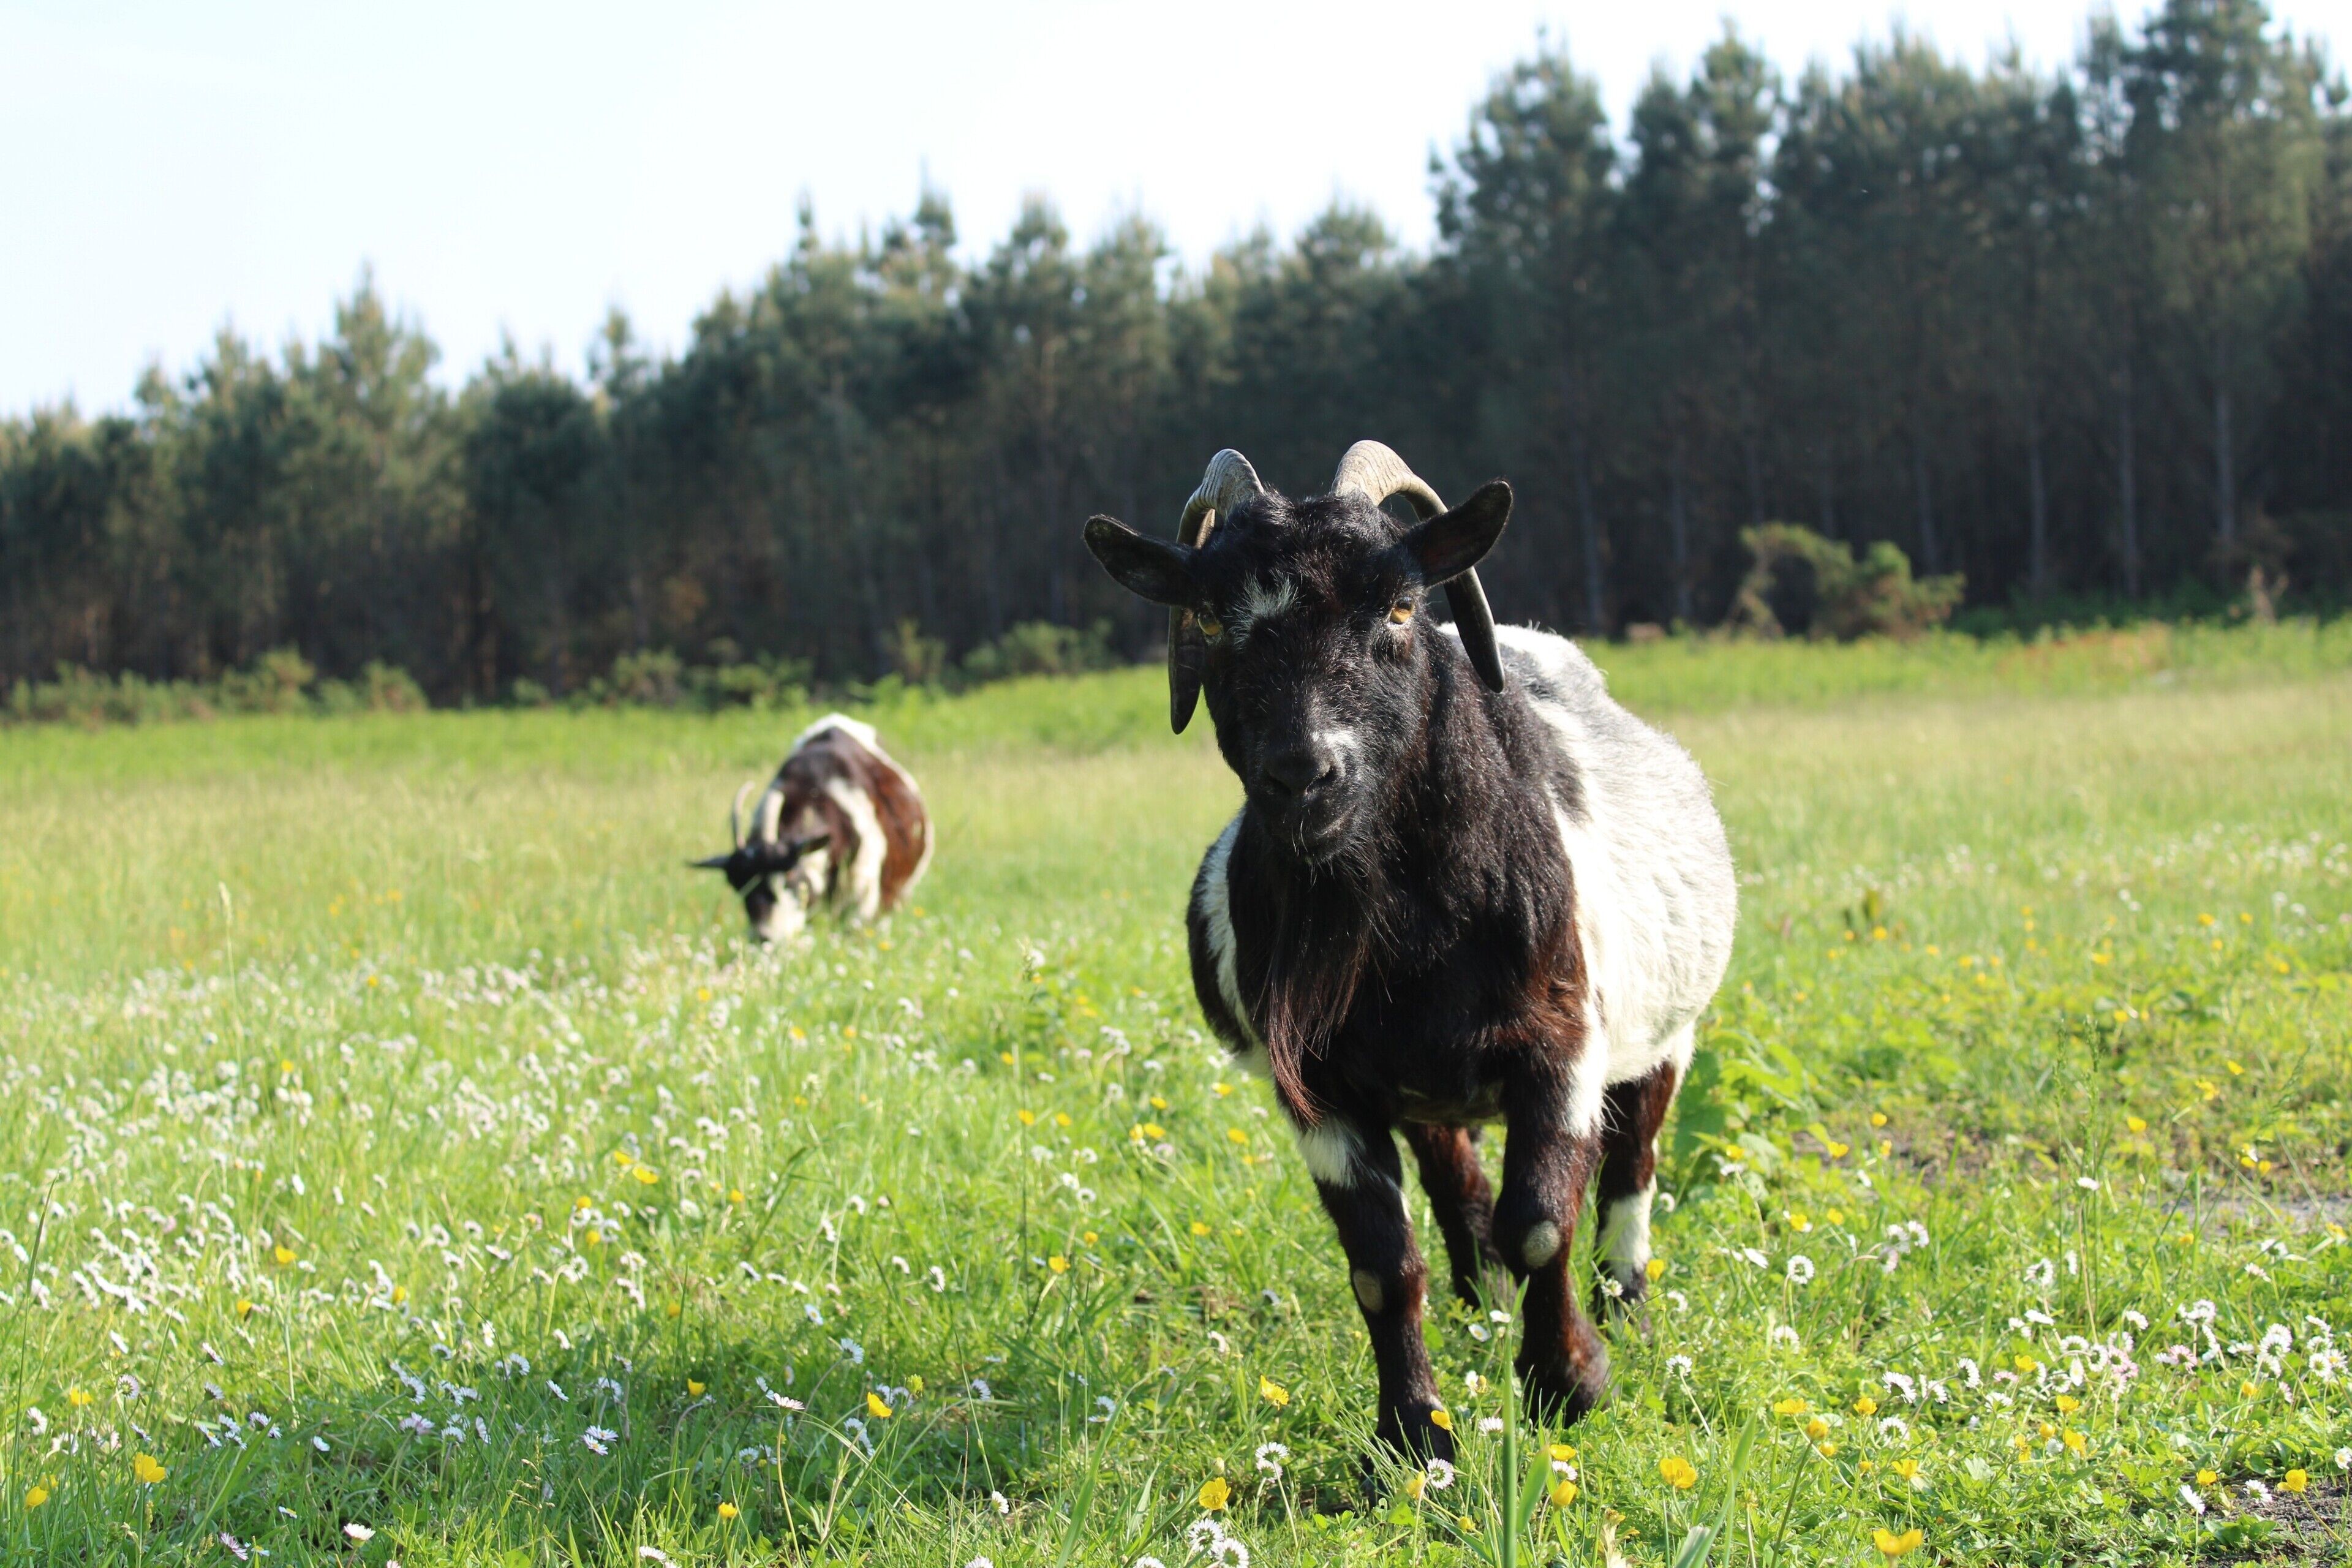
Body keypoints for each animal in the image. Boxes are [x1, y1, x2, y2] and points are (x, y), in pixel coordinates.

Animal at [1082, 443, 1736, 1457]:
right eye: (1212, 617)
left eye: (1397, 607)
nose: (1305, 775)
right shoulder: (1320, 1091)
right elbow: (1383, 1266)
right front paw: (1413, 1435)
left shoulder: (1565, 1047)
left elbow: (1542, 1222)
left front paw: (1570, 1379)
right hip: (1428, 1091)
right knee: (1454, 1178)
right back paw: (1483, 1298)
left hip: (1668, 1032)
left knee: (1632, 1170)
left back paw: (1623, 1306)